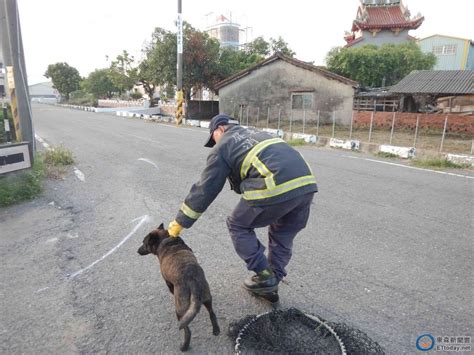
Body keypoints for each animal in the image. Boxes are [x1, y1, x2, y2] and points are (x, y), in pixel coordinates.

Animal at [136, 224, 219, 352]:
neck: (165, 239)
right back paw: (216, 330)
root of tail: (191, 279)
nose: (137, 251)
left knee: (187, 331)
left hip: (180, 311)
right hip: (207, 298)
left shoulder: (168, 282)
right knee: (212, 313)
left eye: (144, 243)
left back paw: (184, 347)